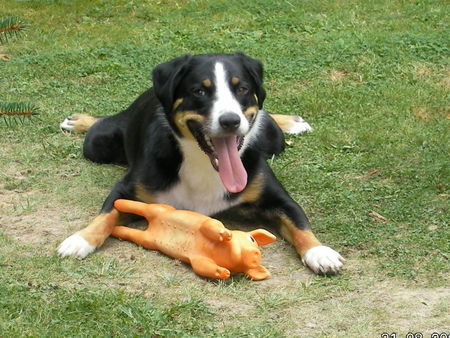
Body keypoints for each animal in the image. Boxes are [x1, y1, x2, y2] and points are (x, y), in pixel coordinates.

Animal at [57, 52, 344, 274]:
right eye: (199, 91)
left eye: (241, 89)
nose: (231, 121)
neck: (204, 164)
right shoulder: (127, 189)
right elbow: (105, 215)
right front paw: (80, 239)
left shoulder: (277, 198)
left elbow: (300, 222)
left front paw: (320, 252)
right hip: (97, 144)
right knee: (101, 123)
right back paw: (81, 121)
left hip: (272, 139)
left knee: (267, 117)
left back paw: (291, 122)